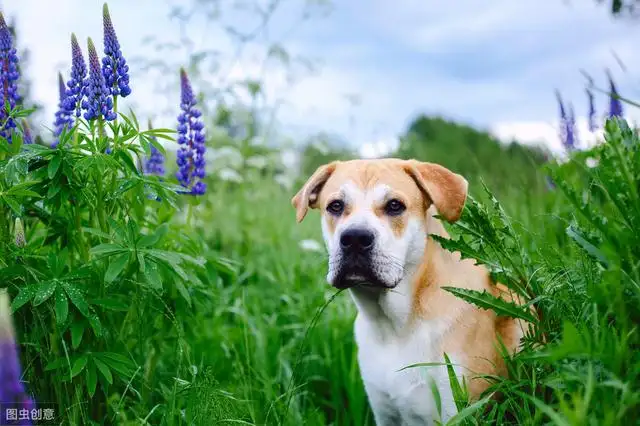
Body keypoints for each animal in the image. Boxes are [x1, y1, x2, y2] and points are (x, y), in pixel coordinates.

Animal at [292, 159, 528, 426]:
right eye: (336, 206)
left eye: (395, 205)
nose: (355, 238)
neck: (394, 327)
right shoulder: (385, 412)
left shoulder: (459, 409)